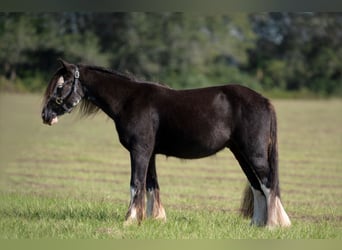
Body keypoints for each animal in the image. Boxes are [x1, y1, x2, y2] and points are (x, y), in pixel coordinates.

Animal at [41, 59, 290, 228]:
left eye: (60, 86)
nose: (45, 115)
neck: (128, 100)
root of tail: (265, 101)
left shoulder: (139, 151)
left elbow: (136, 183)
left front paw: (130, 219)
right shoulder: (149, 153)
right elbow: (152, 184)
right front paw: (154, 218)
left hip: (254, 154)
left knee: (268, 183)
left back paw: (273, 224)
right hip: (241, 154)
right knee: (257, 186)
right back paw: (257, 224)